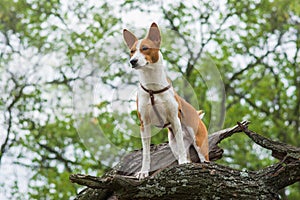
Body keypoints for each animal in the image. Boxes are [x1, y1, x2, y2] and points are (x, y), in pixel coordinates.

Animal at [122, 22, 209, 179]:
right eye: (132, 51)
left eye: (145, 48)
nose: (133, 61)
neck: (152, 87)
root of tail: (196, 114)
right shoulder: (144, 124)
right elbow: (146, 153)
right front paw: (143, 172)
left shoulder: (174, 119)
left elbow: (181, 148)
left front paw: (182, 164)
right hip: (172, 144)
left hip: (199, 142)